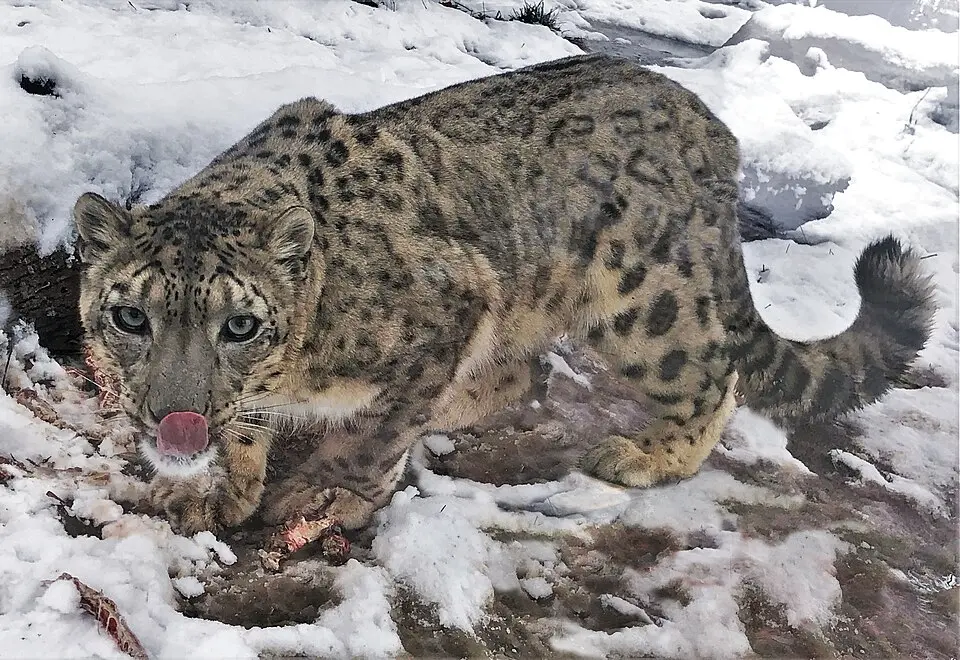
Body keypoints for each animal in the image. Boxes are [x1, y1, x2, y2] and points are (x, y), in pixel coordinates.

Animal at [73, 53, 936, 535]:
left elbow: (375, 438)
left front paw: (327, 495)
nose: (176, 415)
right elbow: (250, 429)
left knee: (710, 373)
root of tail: (712, 128)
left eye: (241, 326)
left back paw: (645, 456)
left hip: (647, 303)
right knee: (526, 371)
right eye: (130, 317)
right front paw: (216, 487)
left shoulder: (444, 305)